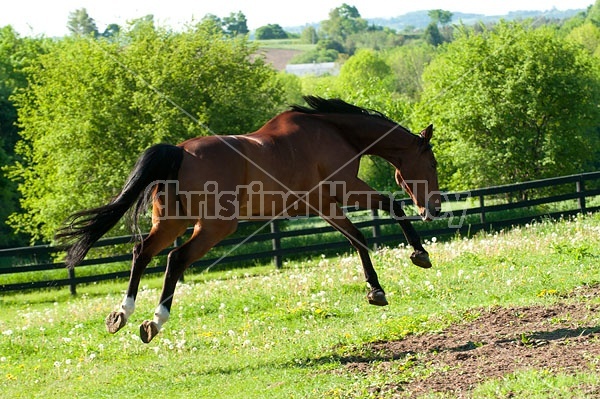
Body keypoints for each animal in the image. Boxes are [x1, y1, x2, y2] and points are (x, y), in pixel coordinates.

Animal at [56, 97, 440, 344]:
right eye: (432, 164)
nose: (434, 208)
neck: (335, 132)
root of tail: (179, 152)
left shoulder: (323, 206)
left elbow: (357, 237)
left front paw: (377, 287)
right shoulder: (343, 192)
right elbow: (388, 209)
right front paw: (416, 258)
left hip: (172, 223)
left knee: (143, 253)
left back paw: (122, 315)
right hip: (214, 227)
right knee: (175, 259)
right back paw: (155, 321)